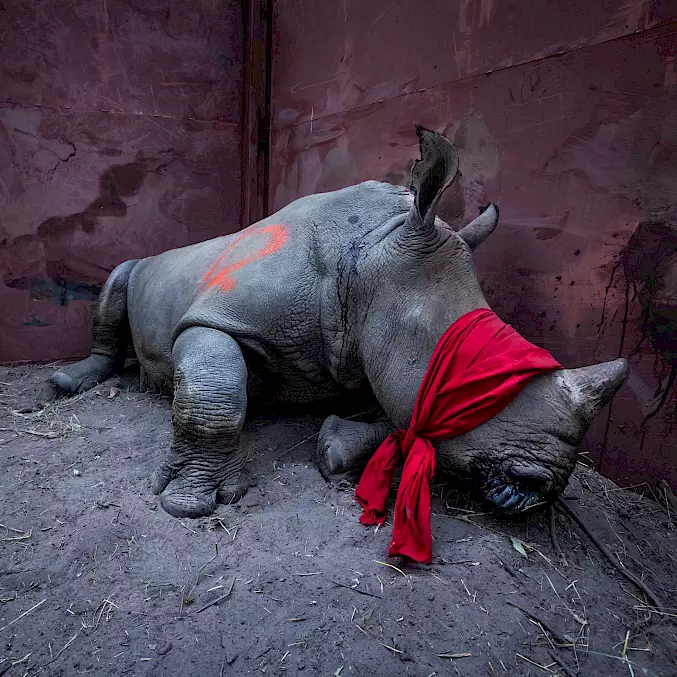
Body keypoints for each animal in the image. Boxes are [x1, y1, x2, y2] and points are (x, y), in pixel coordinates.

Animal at [38, 125, 628, 524]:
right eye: (472, 376)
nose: (542, 485)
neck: (372, 255)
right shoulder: (218, 318)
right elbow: (216, 398)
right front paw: (189, 502)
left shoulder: (373, 347)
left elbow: (398, 415)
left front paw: (333, 449)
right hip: (143, 265)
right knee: (119, 277)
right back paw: (69, 383)